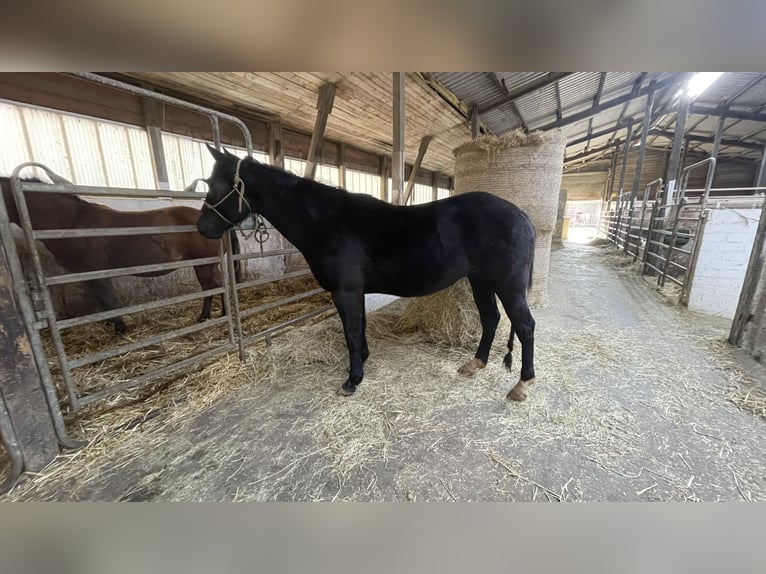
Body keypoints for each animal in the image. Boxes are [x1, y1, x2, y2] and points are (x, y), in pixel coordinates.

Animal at [0, 178, 240, 336]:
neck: (70, 222)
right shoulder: (86, 273)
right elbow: (101, 300)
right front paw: (108, 323)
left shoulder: (96, 270)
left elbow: (108, 299)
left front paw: (119, 328)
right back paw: (217, 313)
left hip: (204, 264)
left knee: (212, 286)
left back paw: (208, 316)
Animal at [198, 146, 540, 402]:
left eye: (217, 186)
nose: (202, 228)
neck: (327, 222)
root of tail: (522, 217)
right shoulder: (355, 291)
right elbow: (358, 327)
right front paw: (362, 361)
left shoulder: (345, 290)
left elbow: (350, 331)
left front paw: (352, 380)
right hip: (480, 281)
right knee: (491, 319)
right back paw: (475, 364)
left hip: (507, 285)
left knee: (525, 326)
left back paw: (522, 385)